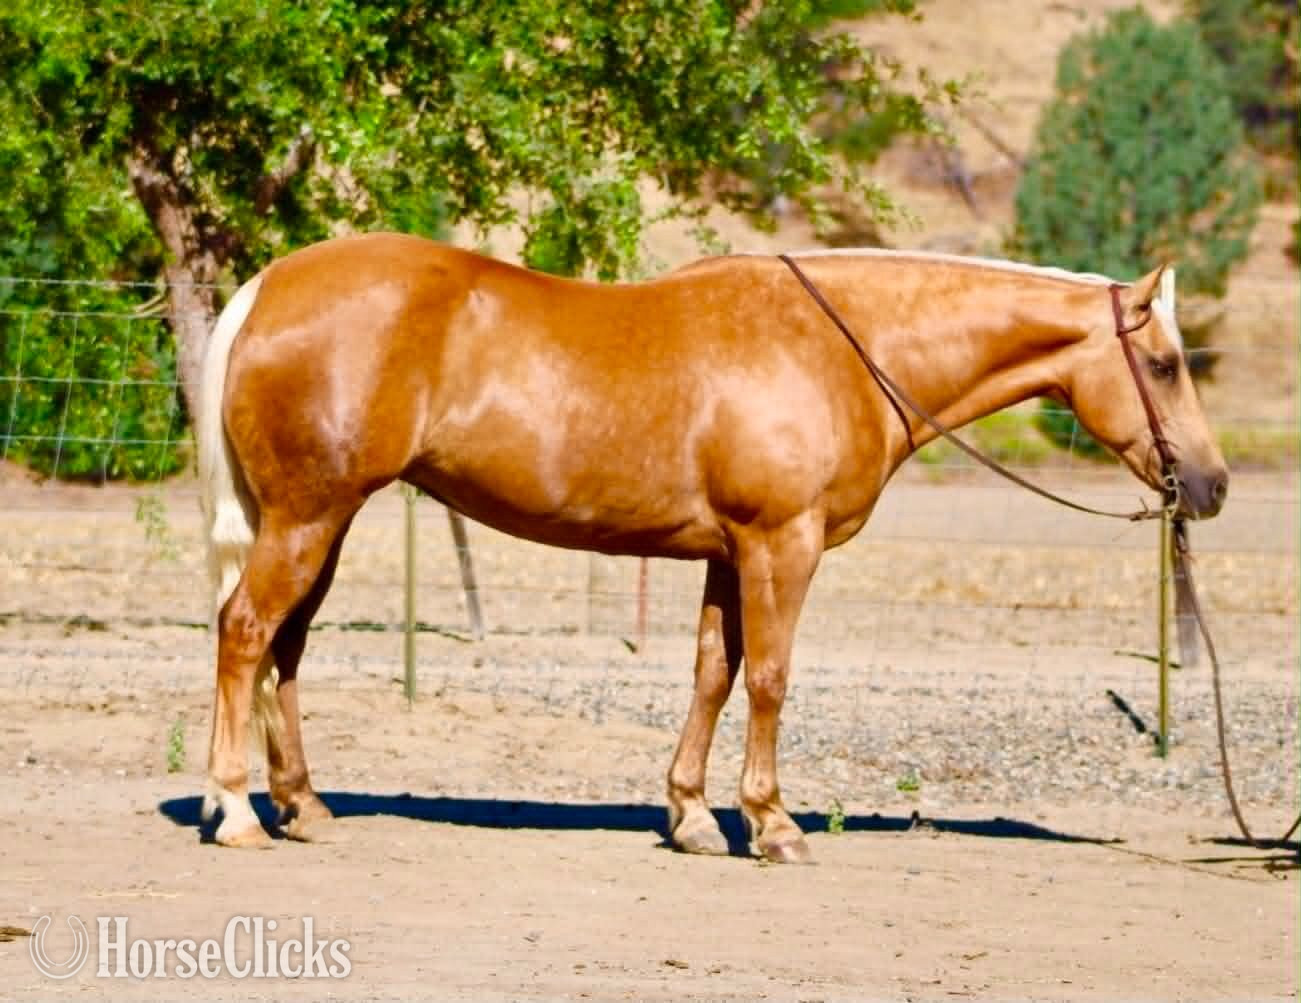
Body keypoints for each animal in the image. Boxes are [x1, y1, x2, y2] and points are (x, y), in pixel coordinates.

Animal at [196, 233, 1227, 861]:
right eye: (1163, 364)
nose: (1210, 485)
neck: (839, 346)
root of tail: (267, 288)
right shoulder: (781, 544)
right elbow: (768, 677)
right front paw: (771, 823)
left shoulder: (728, 554)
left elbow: (711, 673)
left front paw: (691, 815)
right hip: (309, 514)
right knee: (245, 632)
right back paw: (239, 810)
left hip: (321, 520)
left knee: (284, 647)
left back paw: (302, 806)